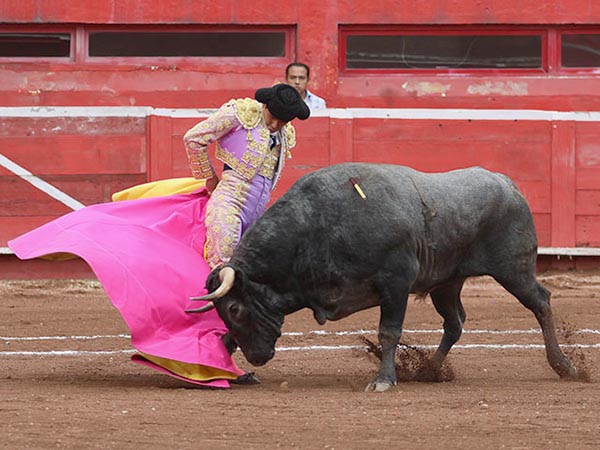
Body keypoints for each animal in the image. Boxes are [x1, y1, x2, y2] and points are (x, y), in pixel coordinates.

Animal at [189, 163, 580, 392]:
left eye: (235, 309)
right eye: (224, 311)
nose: (257, 357)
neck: (315, 228)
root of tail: (506, 182)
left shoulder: (396, 284)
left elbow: (388, 332)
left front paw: (382, 380)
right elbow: (226, 339)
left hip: (514, 270)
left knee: (541, 302)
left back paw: (564, 366)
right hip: (446, 283)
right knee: (455, 323)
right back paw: (429, 370)